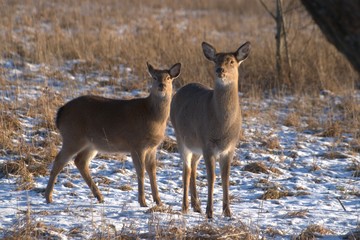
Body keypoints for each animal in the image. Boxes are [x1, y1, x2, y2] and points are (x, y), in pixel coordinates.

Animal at [45, 61, 181, 206]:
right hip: (72, 136)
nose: (162, 85)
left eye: (168, 78)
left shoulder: (152, 147)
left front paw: (159, 201)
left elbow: (152, 171)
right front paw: (143, 202)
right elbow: (141, 172)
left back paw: (99, 196)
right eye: (154, 77)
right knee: (59, 161)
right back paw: (48, 197)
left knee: (80, 161)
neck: (152, 116)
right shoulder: (136, 144)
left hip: (91, 144)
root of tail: (60, 113)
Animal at [169, 41, 250, 219]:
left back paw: (196, 205)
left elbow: (225, 177)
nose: (220, 70)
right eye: (215, 61)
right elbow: (212, 177)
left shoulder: (230, 147)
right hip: (181, 137)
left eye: (231, 61)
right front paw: (210, 212)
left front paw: (227, 212)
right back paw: (185, 206)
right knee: (186, 169)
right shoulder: (208, 144)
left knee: (193, 167)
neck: (222, 127)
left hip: (196, 146)